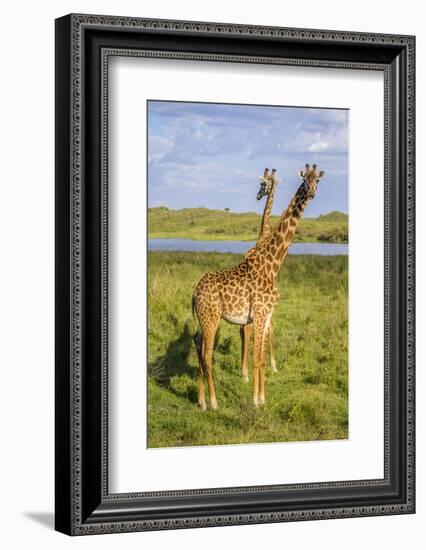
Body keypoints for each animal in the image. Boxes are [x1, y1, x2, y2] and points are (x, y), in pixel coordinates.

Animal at [191, 164, 324, 410]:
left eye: (317, 181)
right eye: (304, 180)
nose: (311, 193)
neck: (272, 265)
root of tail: (194, 292)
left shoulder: (266, 314)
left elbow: (260, 358)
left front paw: (262, 398)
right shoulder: (260, 314)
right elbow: (255, 357)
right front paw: (254, 400)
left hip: (204, 320)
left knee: (199, 349)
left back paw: (202, 401)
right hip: (211, 319)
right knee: (207, 355)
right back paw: (214, 402)